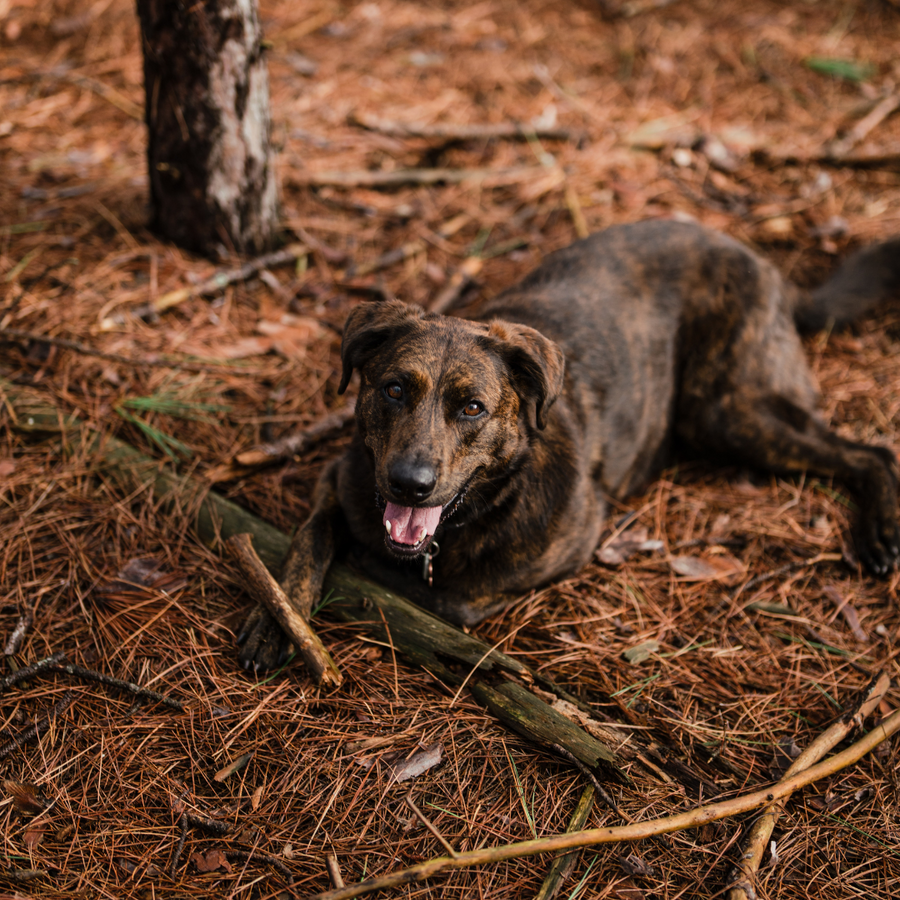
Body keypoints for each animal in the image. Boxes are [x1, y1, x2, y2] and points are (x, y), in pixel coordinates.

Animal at [237, 220, 900, 668]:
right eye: (395, 389)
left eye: (472, 408)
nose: (409, 483)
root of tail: (768, 269)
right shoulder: (339, 479)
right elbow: (310, 538)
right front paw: (278, 621)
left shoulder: (556, 548)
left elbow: (442, 595)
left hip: (725, 410)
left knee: (872, 452)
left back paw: (881, 528)